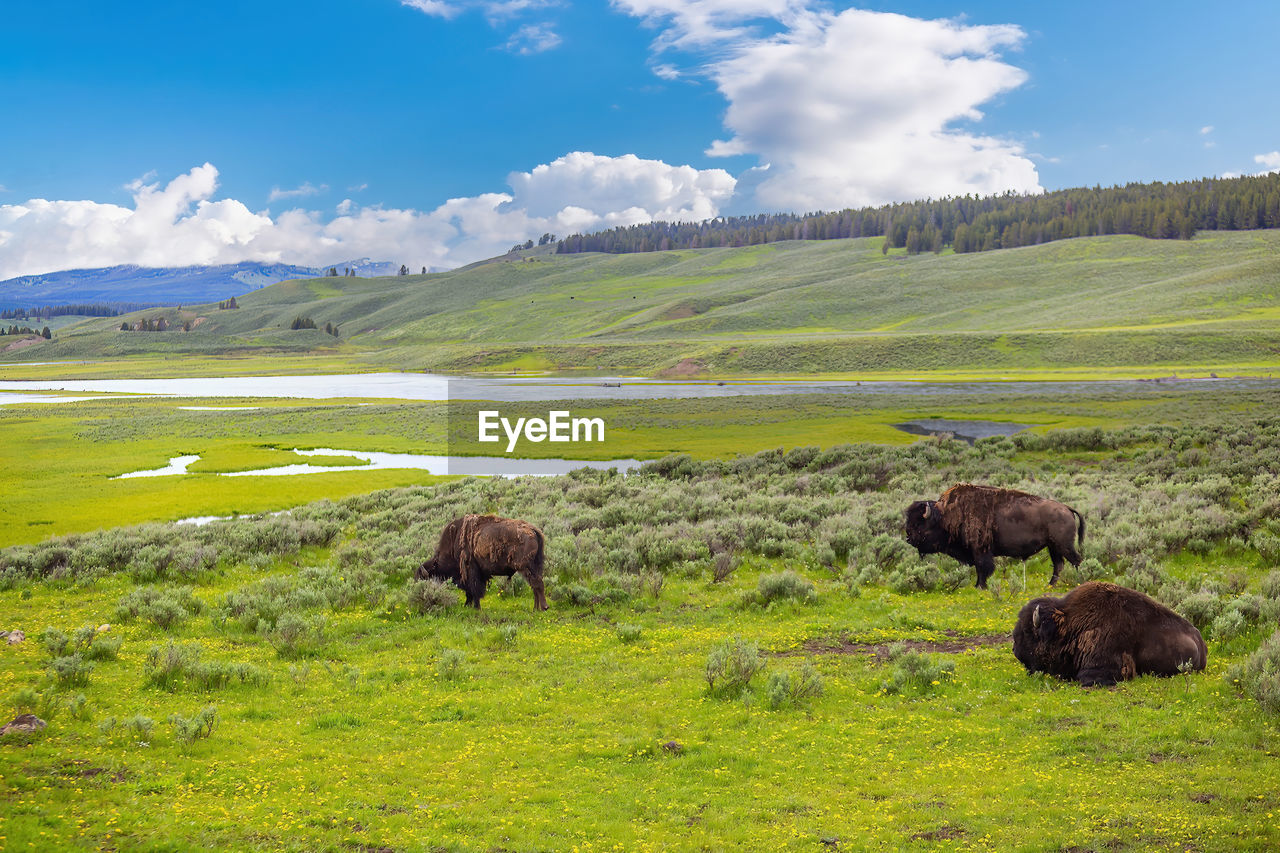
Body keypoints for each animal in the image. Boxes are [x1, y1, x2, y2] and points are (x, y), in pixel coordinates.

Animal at [414, 514, 545, 607]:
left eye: (423, 578)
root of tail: (533, 530)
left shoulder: (471, 570)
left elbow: (474, 590)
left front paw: (476, 607)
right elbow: (471, 592)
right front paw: (467, 605)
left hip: (525, 567)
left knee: (536, 584)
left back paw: (542, 608)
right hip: (535, 566)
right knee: (536, 585)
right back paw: (536, 608)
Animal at [906, 481, 1085, 589]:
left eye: (919, 523)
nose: (909, 538)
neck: (945, 516)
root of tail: (1067, 508)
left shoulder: (980, 550)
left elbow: (982, 567)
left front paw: (980, 586)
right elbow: (980, 569)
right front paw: (978, 586)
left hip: (1063, 545)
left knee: (1076, 560)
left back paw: (1078, 582)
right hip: (1053, 547)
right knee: (1059, 564)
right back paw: (1050, 585)